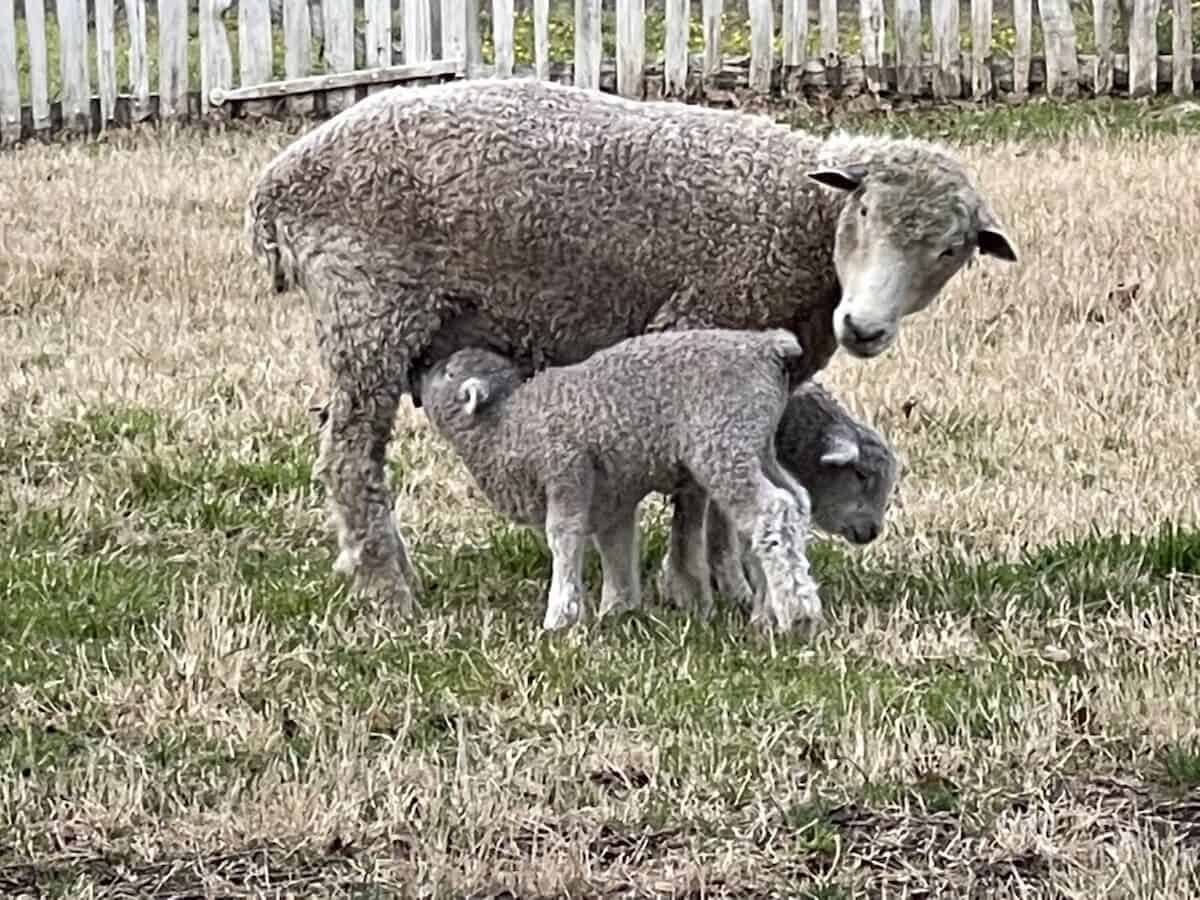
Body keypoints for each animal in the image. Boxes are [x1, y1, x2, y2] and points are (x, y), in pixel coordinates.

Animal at [417, 328, 826, 635]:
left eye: (448, 372)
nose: (422, 368)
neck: (505, 423)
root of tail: (766, 348)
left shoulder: (566, 467)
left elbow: (563, 535)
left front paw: (561, 616)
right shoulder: (610, 493)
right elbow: (615, 543)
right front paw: (618, 609)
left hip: (723, 440)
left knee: (771, 510)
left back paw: (796, 614)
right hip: (757, 444)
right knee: (795, 501)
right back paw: (769, 610)